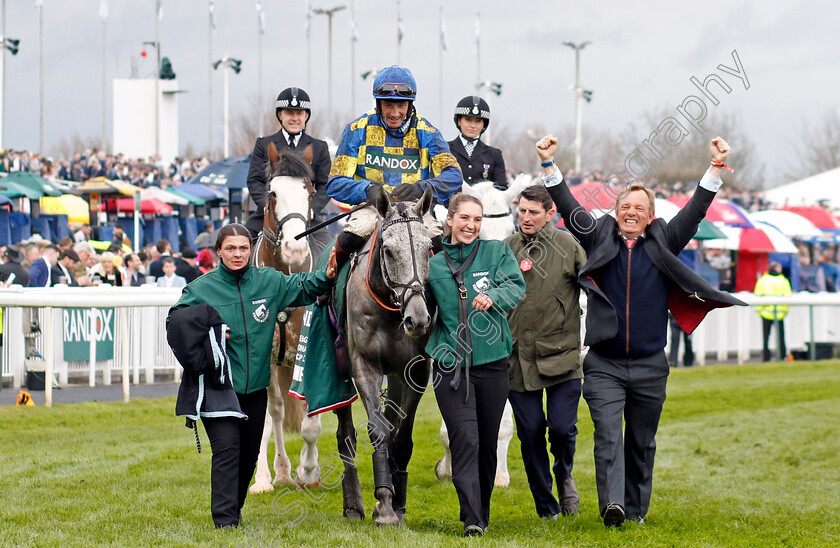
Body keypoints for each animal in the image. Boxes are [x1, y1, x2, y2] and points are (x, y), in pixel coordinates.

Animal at [336, 188, 436, 528]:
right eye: (389, 251)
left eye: (429, 248)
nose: (417, 319)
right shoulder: (364, 365)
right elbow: (378, 430)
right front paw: (385, 503)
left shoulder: (416, 371)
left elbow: (401, 435)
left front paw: (398, 503)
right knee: (345, 433)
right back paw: (353, 504)